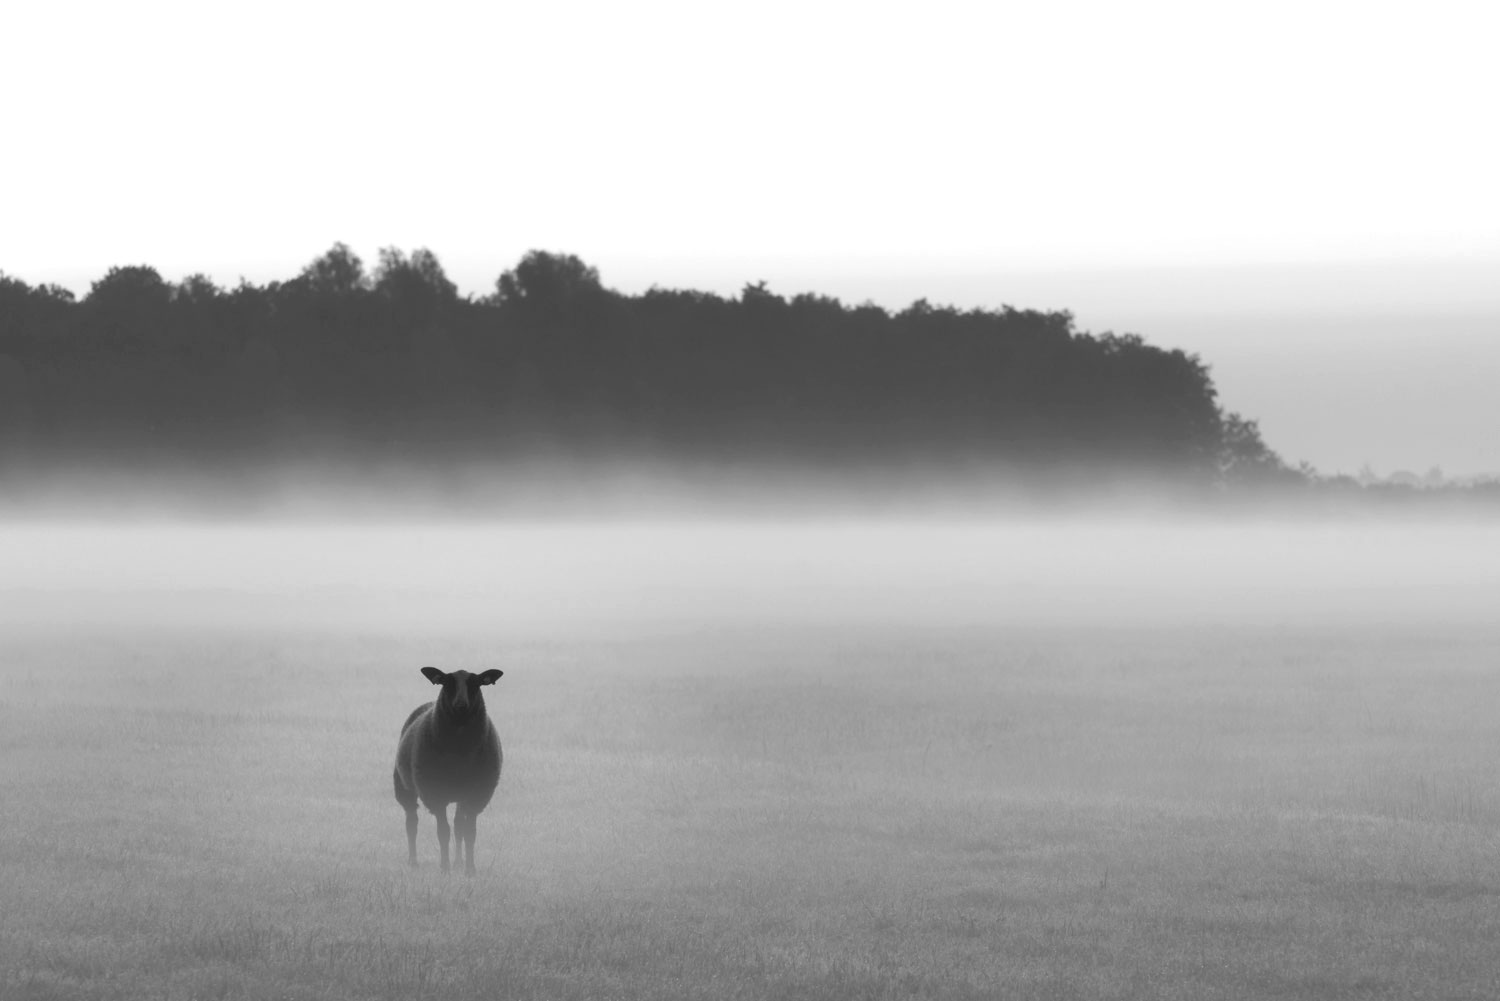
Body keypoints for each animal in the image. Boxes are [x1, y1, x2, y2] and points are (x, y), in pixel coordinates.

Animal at [393, 666, 504, 876]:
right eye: (446, 682)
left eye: (476, 683)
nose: (461, 704)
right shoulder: (435, 795)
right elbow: (443, 832)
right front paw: (444, 868)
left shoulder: (476, 795)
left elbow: (469, 833)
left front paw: (470, 870)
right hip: (404, 787)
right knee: (411, 822)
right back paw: (413, 861)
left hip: (460, 795)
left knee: (458, 824)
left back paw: (458, 862)